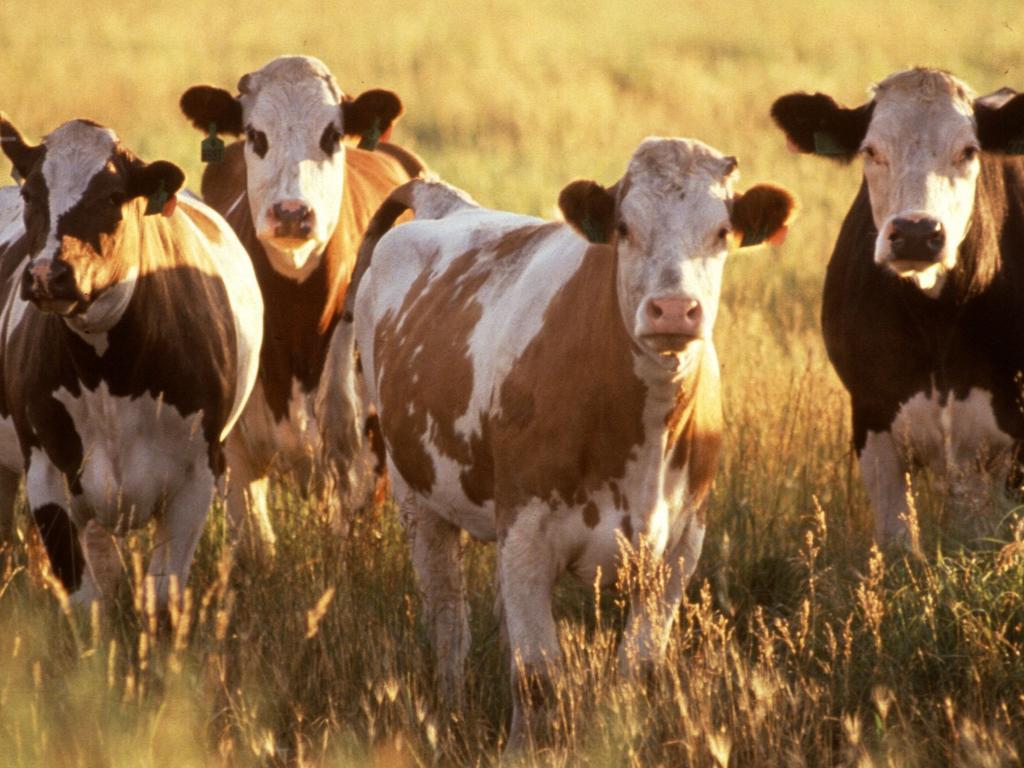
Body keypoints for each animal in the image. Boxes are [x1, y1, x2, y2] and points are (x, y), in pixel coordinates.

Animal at [0, 114, 264, 606]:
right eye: (31, 195)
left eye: (112, 196)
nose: (47, 274)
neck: (109, 375)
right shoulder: (45, 471)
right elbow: (85, 598)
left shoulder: (197, 475)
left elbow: (163, 595)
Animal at [180, 55, 423, 561]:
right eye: (256, 135)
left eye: (331, 135)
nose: (292, 212)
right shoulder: (235, 455)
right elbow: (257, 546)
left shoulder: (363, 465)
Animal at [348, 140, 794, 753]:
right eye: (625, 228)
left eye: (722, 230)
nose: (673, 309)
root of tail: (449, 205)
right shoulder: (527, 534)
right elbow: (537, 676)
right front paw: (521, 755)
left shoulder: (680, 548)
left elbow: (637, 670)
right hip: (418, 498)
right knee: (449, 622)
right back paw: (453, 712)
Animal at [770, 67, 1024, 548]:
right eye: (871, 150)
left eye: (969, 151)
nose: (916, 233)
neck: (936, 318)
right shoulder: (872, 418)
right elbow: (898, 543)